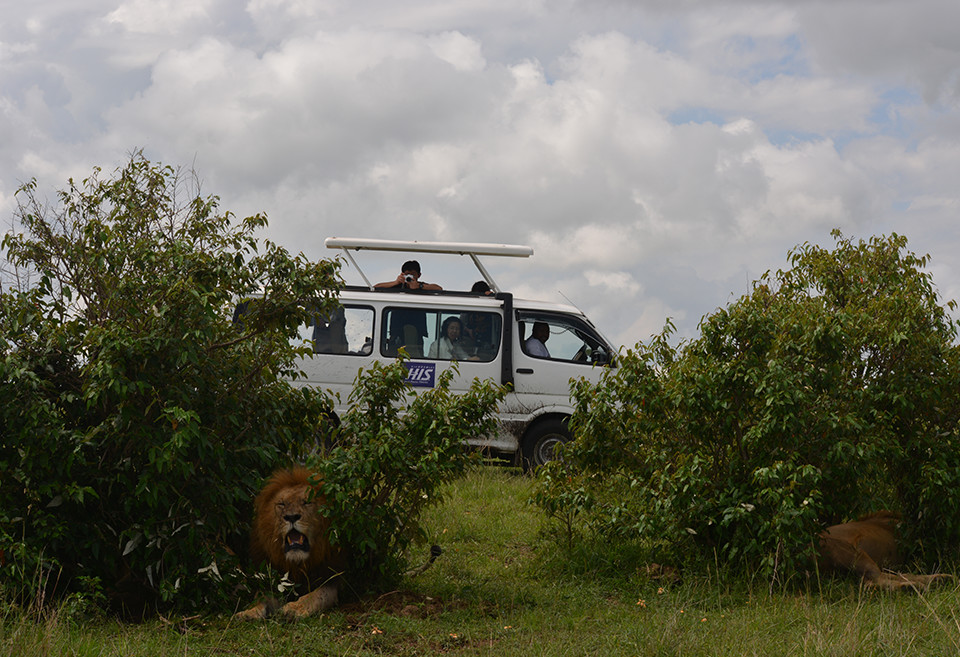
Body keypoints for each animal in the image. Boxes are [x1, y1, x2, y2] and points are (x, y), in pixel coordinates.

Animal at [235, 464, 346, 616]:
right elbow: (260, 598)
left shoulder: (332, 578)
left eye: (307, 502)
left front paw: (293, 609)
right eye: (281, 504)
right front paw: (249, 612)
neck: (297, 564)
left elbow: (315, 595)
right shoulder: (272, 581)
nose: (292, 517)